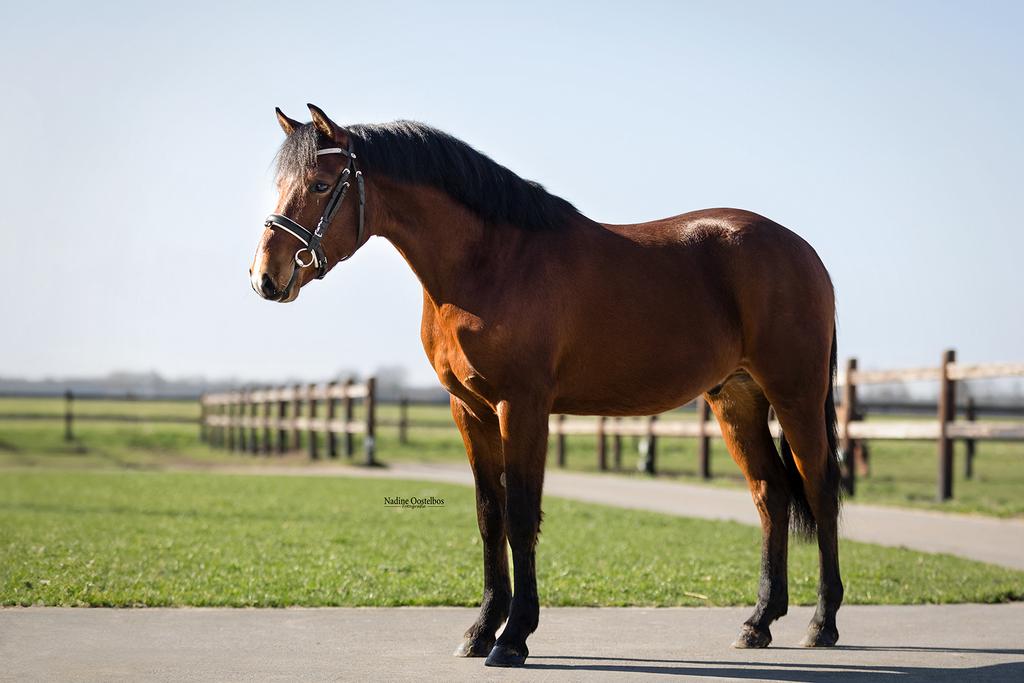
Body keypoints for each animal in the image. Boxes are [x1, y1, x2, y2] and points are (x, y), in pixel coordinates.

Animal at [249, 104, 843, 668]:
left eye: (320, 185)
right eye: (279, 184)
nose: (265, 278)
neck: (490, 262)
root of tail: (803, 251)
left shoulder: (522, 406)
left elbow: (520, 514)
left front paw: (513, 638)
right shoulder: (469, 410)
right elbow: (489, 515)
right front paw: (480, 630)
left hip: (795, 393)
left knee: (819, 488)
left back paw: (822, 623)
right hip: (736, 398)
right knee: (770, 493)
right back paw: (759, 622)